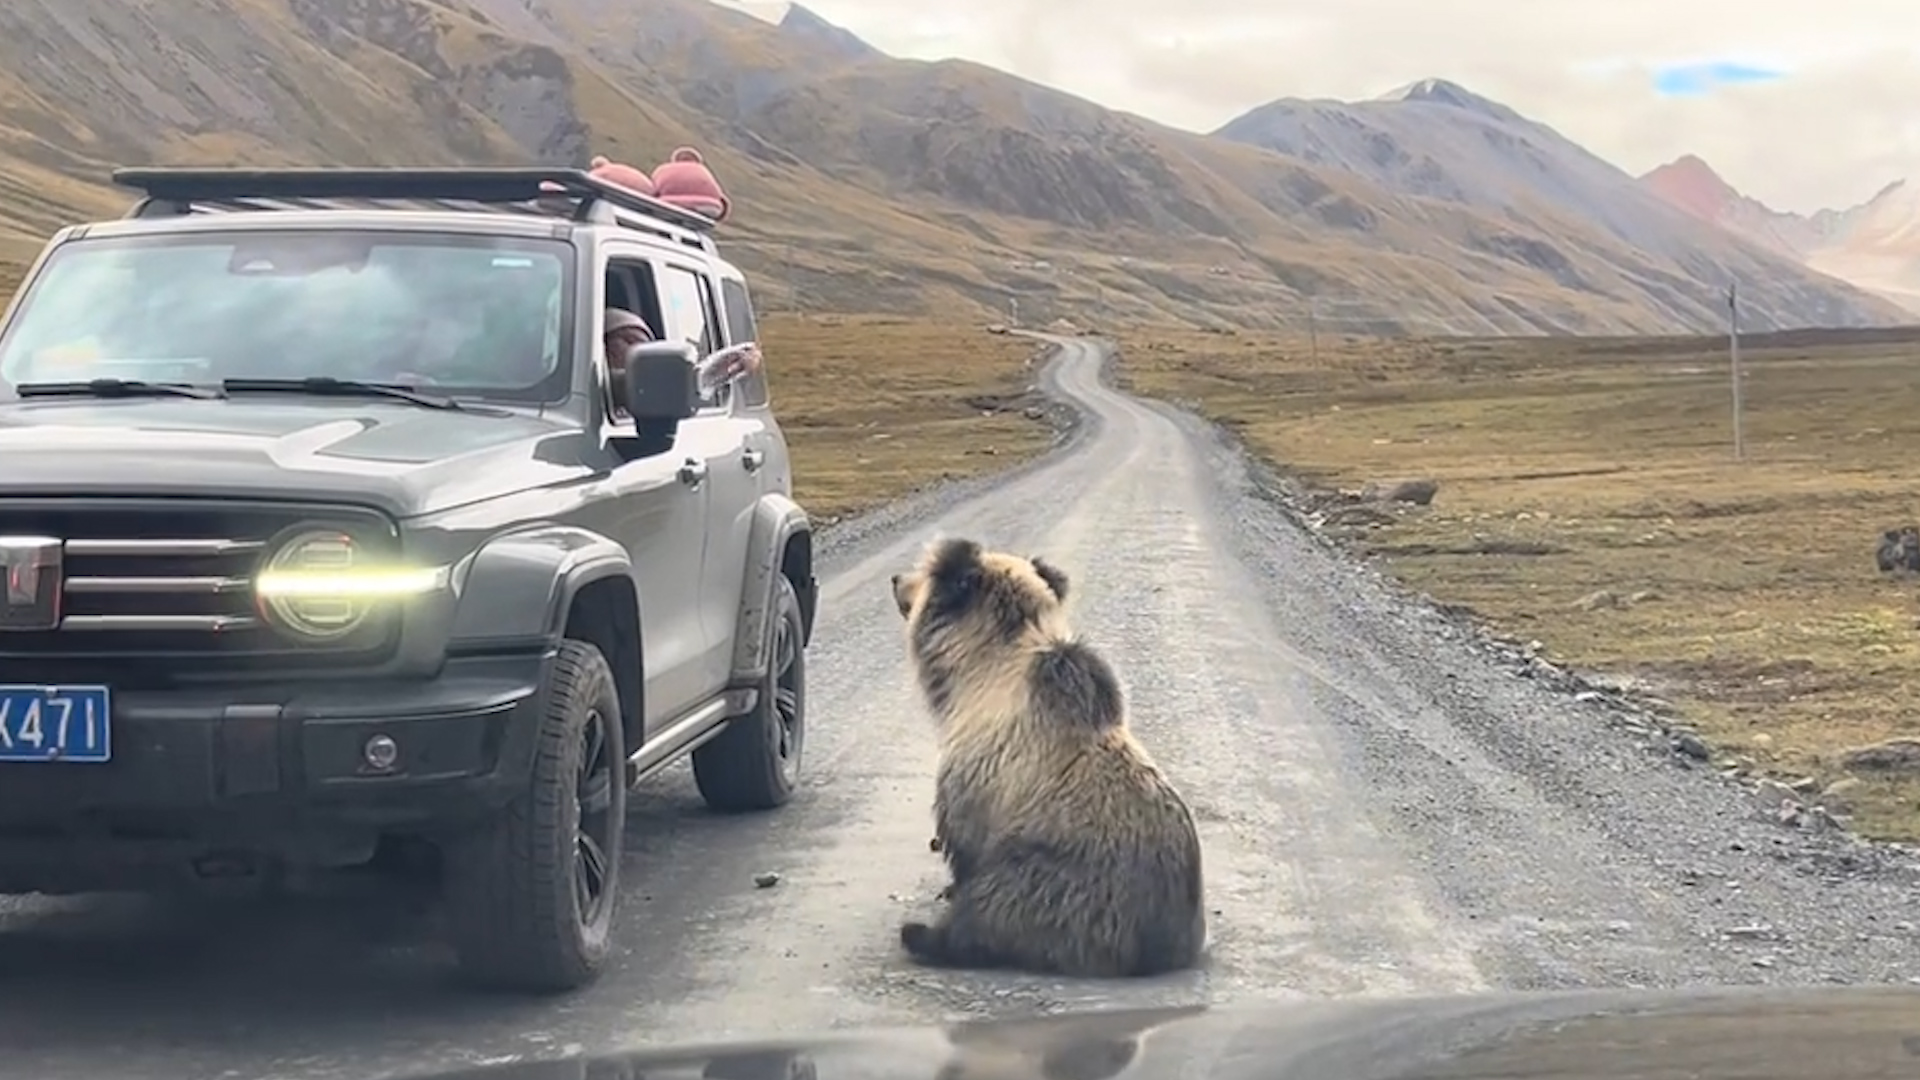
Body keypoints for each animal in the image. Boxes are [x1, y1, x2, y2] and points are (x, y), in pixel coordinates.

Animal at [883, 534, 1198, 976]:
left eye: (925, 574)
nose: (896, 579)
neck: (975, 674)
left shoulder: (980, 770)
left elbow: (964, 842)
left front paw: (948, 889)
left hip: (1064, 882)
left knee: (999, 904)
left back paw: (923, 935)